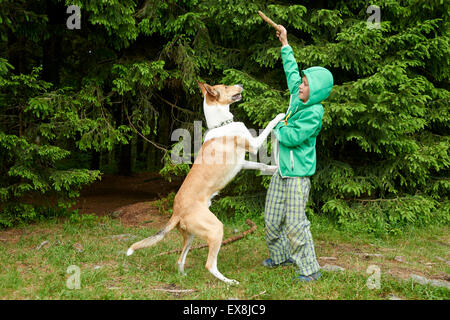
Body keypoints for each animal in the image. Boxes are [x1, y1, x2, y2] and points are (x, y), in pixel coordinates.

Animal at [126, 82, 284, 284]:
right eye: (226, 86)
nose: (240, 84)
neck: (222, 123)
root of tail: (176, 212)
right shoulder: (254, 144)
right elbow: (269, 125)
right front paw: (280, 114)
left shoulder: (242, 162)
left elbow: (262, 165)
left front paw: (275, 169)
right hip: (216, 229)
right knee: (210, 265)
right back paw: (229, 282)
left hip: (191, 236)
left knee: (180, 259)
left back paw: (184, 277)